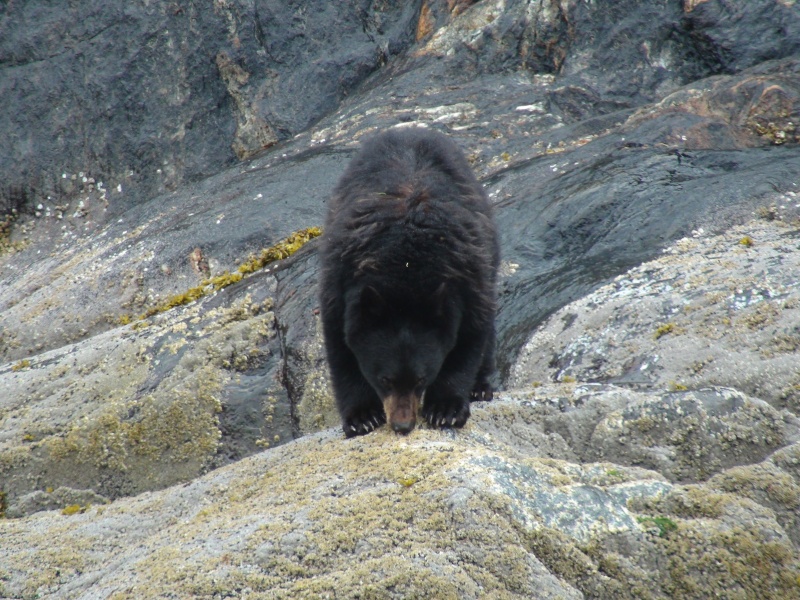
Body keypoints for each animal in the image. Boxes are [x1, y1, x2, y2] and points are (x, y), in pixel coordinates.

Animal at [318, 127, 499, 437]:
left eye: (421, 379)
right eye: (385, 379)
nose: (403, 425)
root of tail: (410, 129)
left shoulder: (468, 277)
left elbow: (470, 338)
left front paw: (446, 409)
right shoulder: (339, 282)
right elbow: (341, 350)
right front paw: (362, 416)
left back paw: (481, 387)